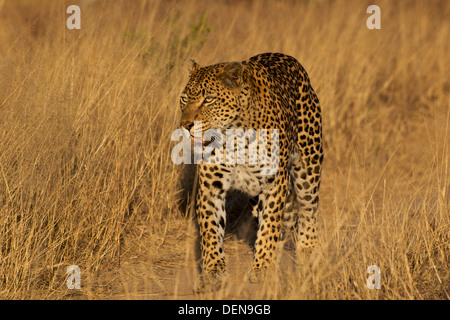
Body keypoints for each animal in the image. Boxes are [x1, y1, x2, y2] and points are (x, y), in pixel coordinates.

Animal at [178, 52, 322, 290]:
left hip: (308, 163)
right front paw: (213, 271)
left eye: (208, 99)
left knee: (309, 207)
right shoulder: (211, 186)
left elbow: (270, 226)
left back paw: (309, 250)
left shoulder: (274, 183)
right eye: (184, 99)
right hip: (256, 195)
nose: (185, 125)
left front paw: (263, 268)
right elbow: (210, 229)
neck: (233, 135)